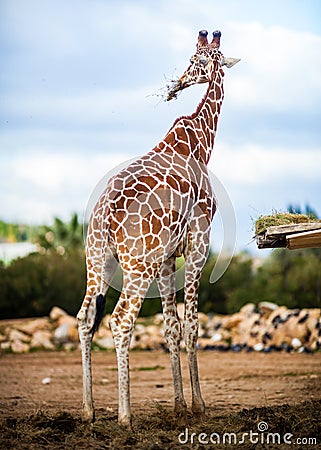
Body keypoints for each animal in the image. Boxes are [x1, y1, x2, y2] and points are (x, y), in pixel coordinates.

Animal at [77, 29, 238, 428]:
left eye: (197, 61)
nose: (177, 83)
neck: (200, 144)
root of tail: (105, 215)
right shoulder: (198, 243)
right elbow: (192, 324)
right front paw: (198, 405)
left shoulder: (167, 257)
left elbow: (171, 326)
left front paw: (178, 405)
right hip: (138, 264)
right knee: (120, 321)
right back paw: (124, 416)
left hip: (97, 259)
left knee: (85, 318)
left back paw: (88, 410)